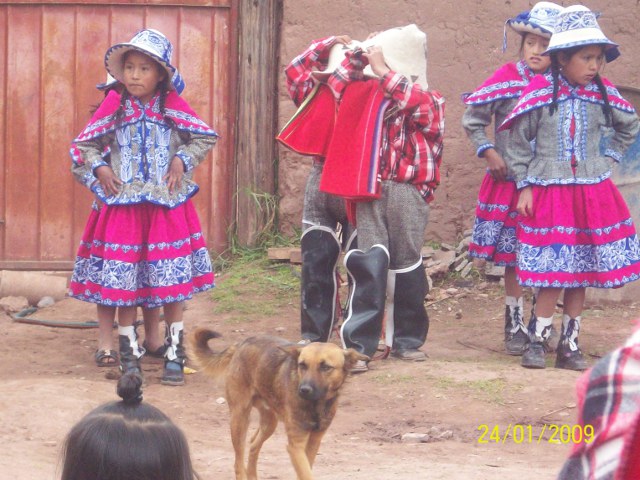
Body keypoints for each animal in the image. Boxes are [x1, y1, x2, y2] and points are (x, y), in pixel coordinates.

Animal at [190, 328, 368, 480]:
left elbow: (306, 471)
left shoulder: (313, 442)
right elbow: (306, 474)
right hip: (239, 419)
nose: (303, 390)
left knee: (254, 445)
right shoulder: (296, 446)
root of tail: (242, 343)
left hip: (270, 422)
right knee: (238, 462)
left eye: (325, 367)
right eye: (302, 365)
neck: (316, 405)